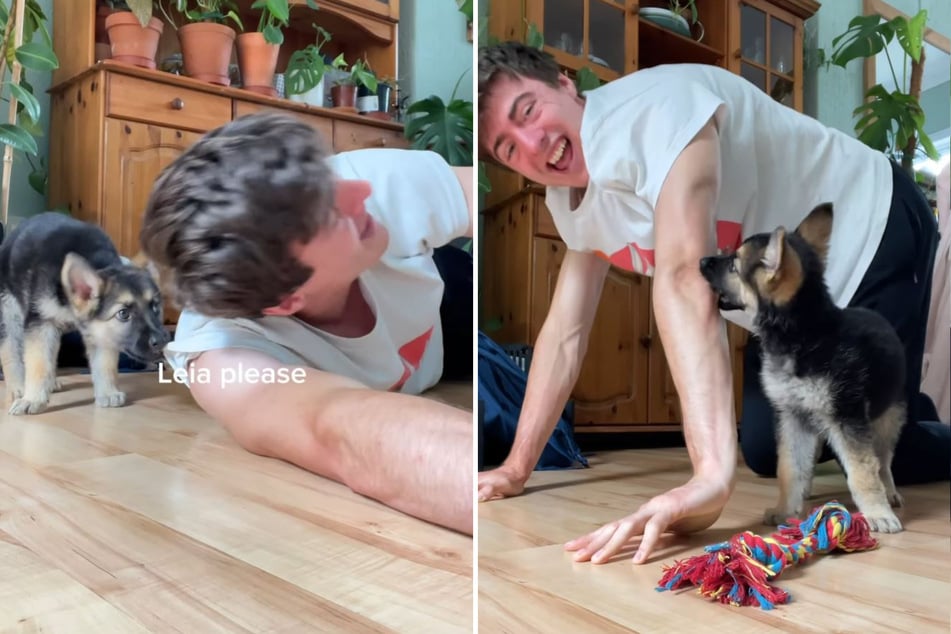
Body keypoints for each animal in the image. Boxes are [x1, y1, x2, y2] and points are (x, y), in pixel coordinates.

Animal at [0, 210, 169, 412]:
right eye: (123, 314)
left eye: (155, 306)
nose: (164, 341)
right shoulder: (41, 323)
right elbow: (38, 363)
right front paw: (32, 399)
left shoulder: (101, 331)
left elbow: (105, 363)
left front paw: (107, 392)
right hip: (9, 313)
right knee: (10, 349)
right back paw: (18, 387)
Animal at [700, 205, 908, 532]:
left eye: (733, 265)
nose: (701, 261)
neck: (804, 334)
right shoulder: (793, 416)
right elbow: (790, 467)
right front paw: (786, 509)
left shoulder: (847, 418)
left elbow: (863, 471)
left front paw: (877, 512)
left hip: (887, 417)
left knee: (883, 459)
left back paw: (889, 491)